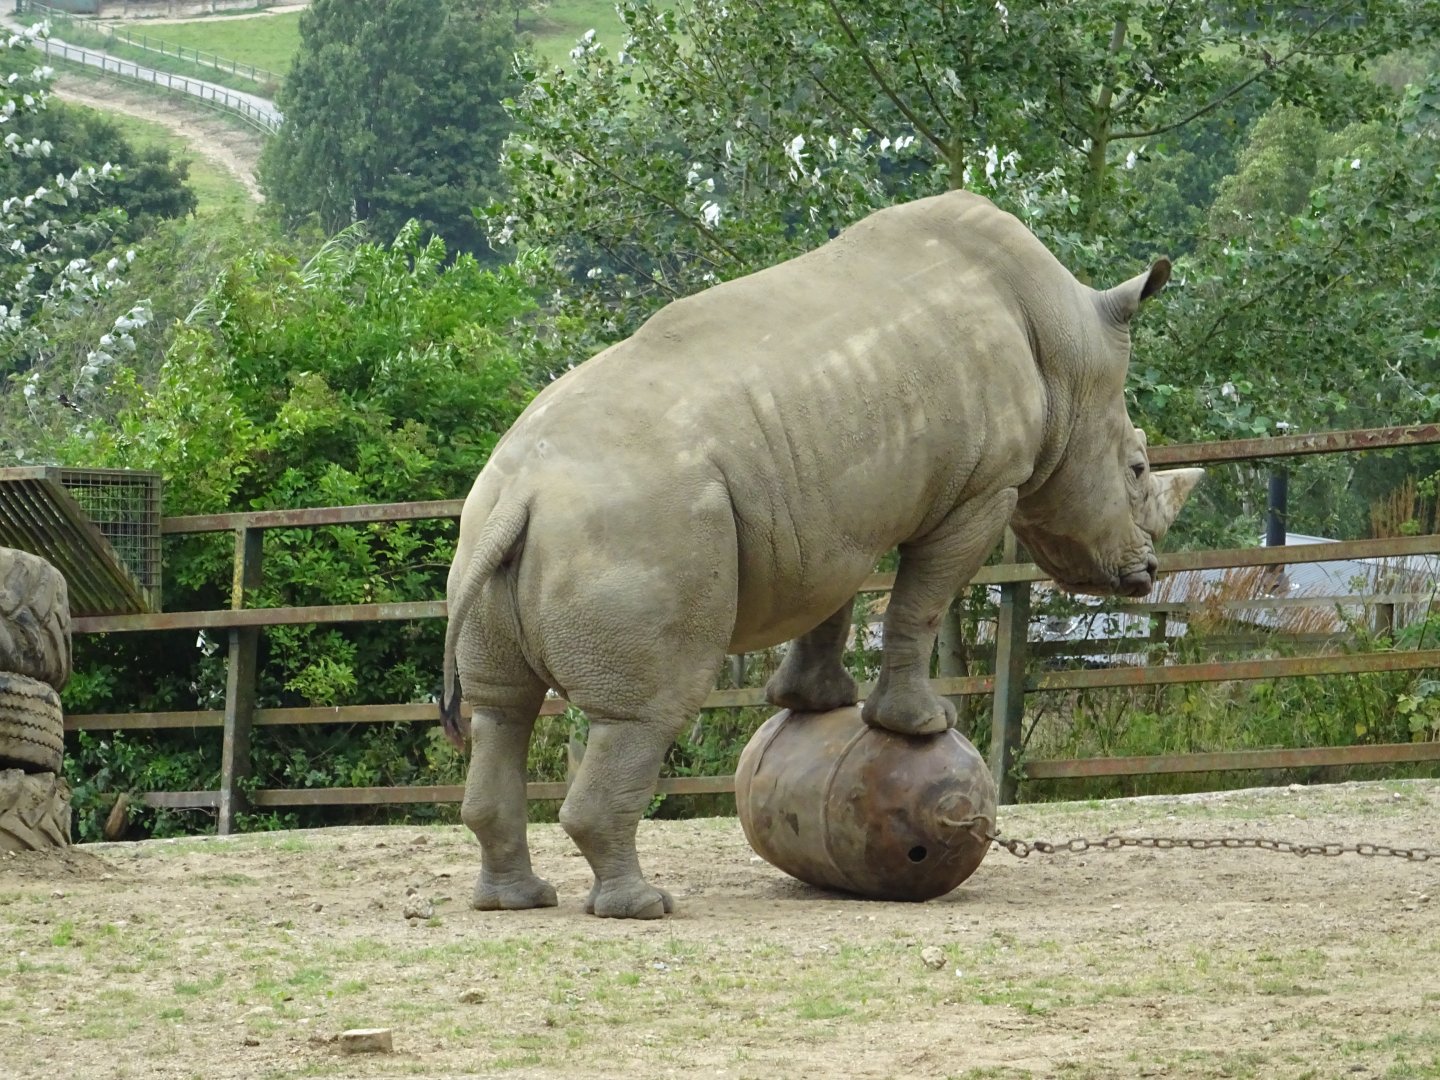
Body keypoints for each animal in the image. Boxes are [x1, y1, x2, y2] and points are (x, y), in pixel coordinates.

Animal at [440, 189, 1202, 919]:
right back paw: (643, 908)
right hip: (640, 527)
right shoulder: (985, 487)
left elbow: (831, 601)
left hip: (493, 527)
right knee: (643, 714)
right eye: (1137, 469)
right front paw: (924, 724)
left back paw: (515, 901)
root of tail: (526, 491)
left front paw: (814, 703)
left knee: (502, 710)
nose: (1146, 573)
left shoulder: (825, 513)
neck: (1067, 353)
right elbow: (922, 602)